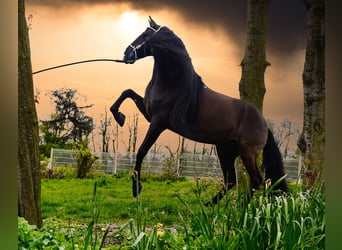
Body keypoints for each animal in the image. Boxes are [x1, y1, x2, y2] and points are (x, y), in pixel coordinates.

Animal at [109, 16, 286, 203]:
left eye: (145, 35)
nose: (126, 54)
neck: (173, 84)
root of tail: (264, 125)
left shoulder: (158, 122)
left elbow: (141, 151)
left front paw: (136, 189)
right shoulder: (149, 113)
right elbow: (127, 92)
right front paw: (119, 117)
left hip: (247, 153)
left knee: (256, 180)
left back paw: (242, 206)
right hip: (226, 150)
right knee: (231, 179)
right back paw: (209, 204)